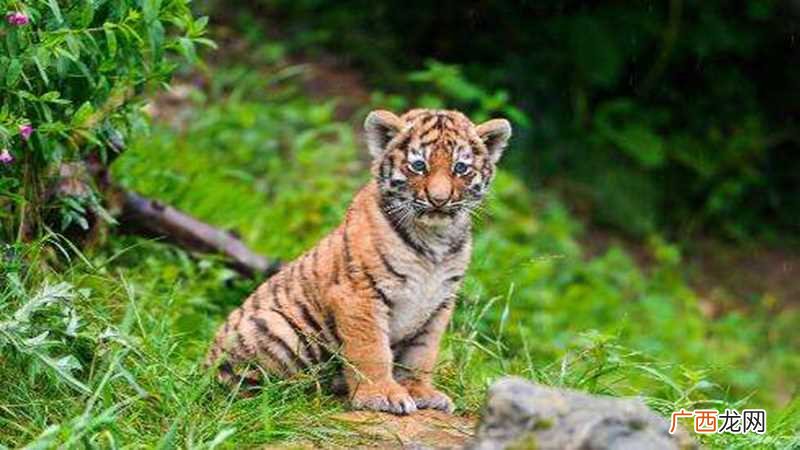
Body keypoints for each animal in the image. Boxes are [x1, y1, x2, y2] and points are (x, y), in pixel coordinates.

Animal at [205, 108, 511, 415]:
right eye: (418, 165)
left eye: (460, 168)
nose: (439, 200)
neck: (434, 238)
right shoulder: (360, 293)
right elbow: (372, 350)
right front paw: (382, 395)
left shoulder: (439, 303)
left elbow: (422, 354)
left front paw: (420, 391)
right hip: (277, 328)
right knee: (242, 390)